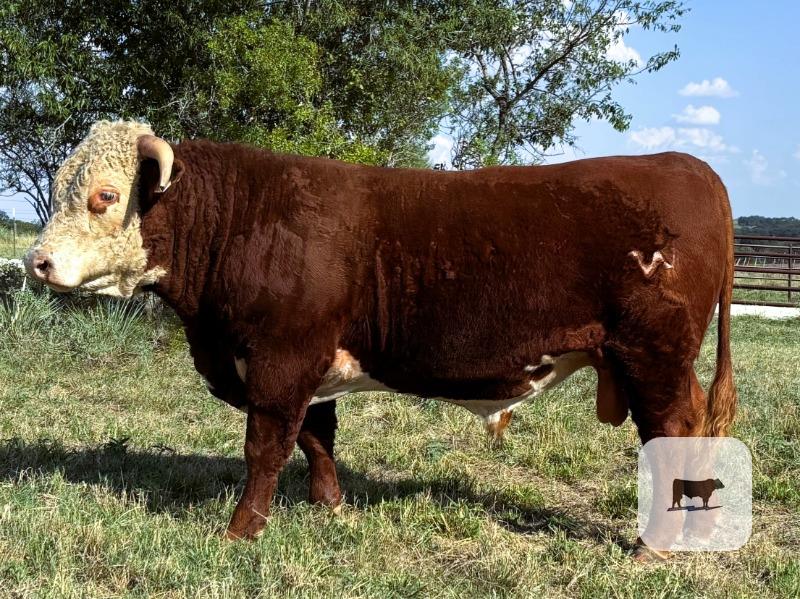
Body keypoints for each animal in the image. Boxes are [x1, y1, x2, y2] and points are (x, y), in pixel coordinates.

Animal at [25, 120, 737, 548]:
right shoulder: (313, 367)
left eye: (104, 196)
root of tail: (690, 166)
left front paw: (240, 532)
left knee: (674, 432)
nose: (35, 262)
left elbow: (265, 448)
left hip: (654, 357)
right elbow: (317, 439)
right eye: (60, 187)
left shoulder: (281, 360)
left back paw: (654, 546)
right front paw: (332, 508)